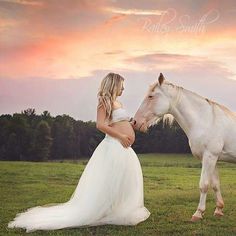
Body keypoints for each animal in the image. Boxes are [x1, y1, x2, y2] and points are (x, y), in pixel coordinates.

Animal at [133, 73, 236, 221]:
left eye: (151, 96)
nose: (135, 122)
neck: (206, 120)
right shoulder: (213, 158)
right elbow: (215, 184)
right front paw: (219, 210)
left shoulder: (210, 156)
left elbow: (204, 185)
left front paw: (198, 213)